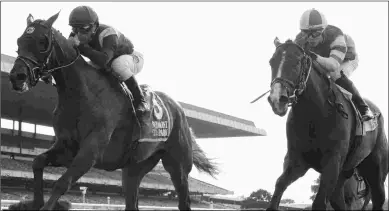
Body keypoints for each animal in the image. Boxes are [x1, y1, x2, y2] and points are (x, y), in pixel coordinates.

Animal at [7, 11, 218, 211]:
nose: (17, 76)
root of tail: (178, 108)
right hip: (134, 168)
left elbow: (62, 183)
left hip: (178, 166)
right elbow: (37, 162)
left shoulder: (91, 150)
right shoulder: (67, 148)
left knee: (184, 200)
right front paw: (34, 202)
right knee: (132, 201)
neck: (81, 92)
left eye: (42, 41)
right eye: (19, 41)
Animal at [266, 38, 386, 210]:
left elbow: (319, 202)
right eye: (272, 62)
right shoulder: (297, 160)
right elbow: (279, 185)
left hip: (375, 170)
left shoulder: (333, 161)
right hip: (345, 172)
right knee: (338, 199)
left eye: (296, 62)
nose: (277, 99)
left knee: (378, 198)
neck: (315, 114)